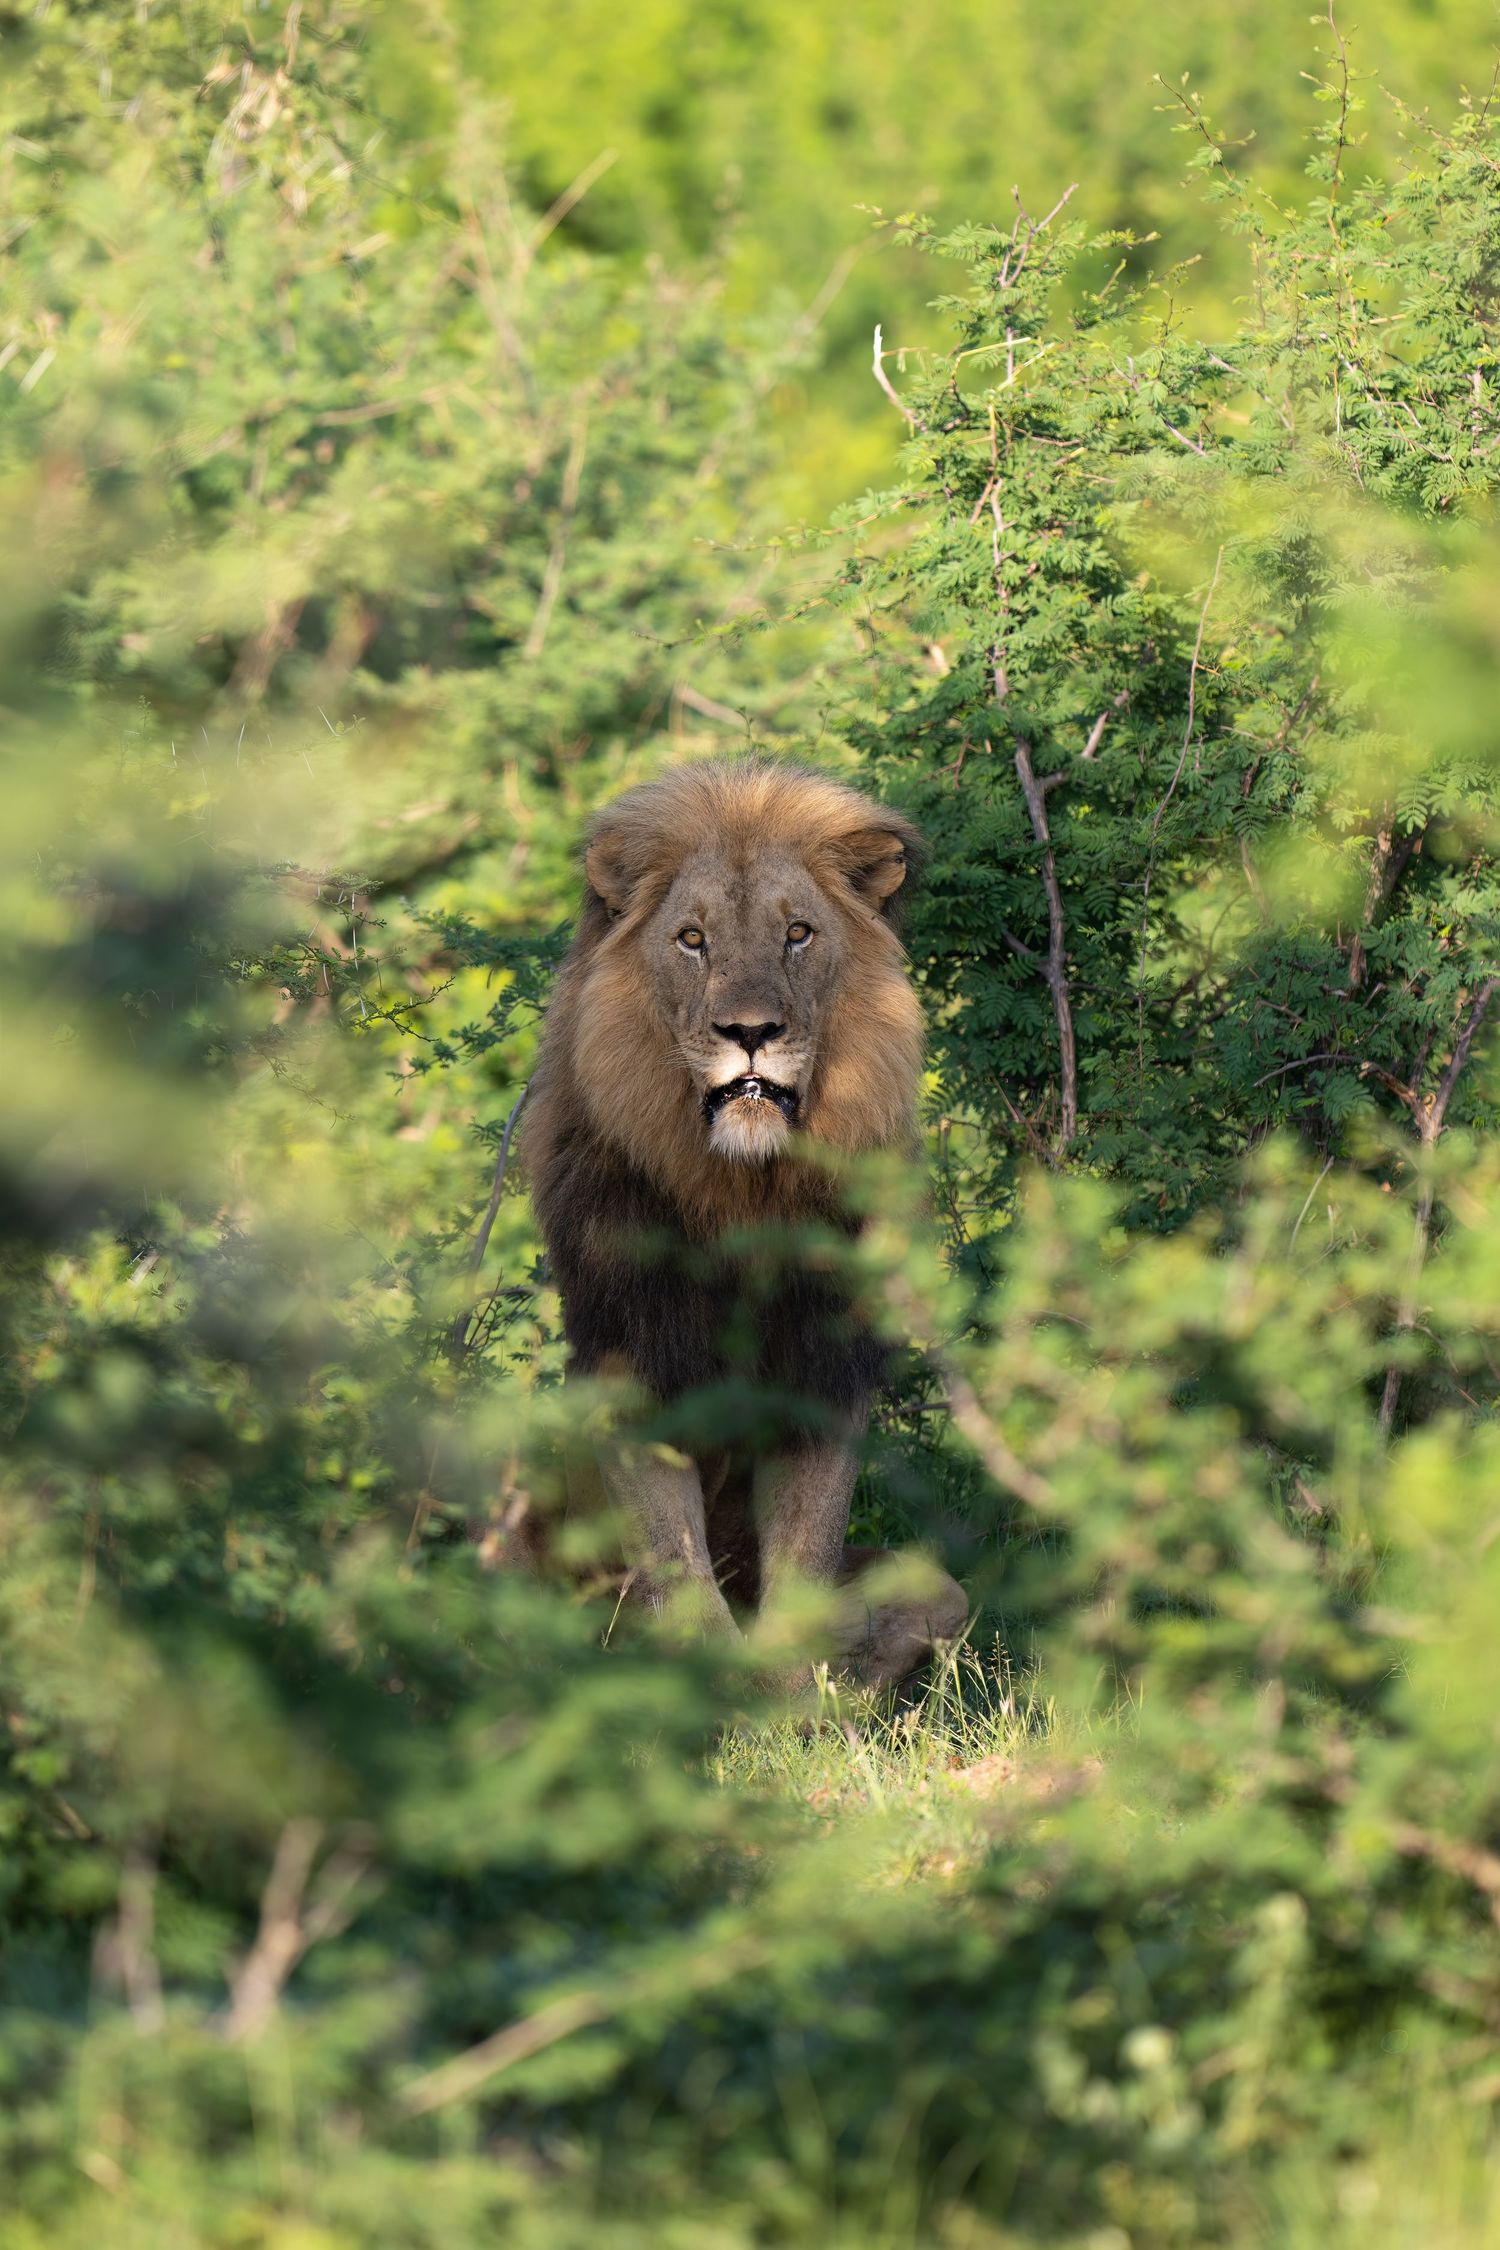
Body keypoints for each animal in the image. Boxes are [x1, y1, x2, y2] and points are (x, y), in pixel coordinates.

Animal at [522, 757, 968, 1691]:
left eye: (798, 933)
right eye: (692, 940)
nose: (751, 1031)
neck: (743, 1195)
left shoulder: (822, 1369)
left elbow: (803, 1559)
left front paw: (796, 1707)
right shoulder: (632, 1359)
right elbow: (677, 1568)